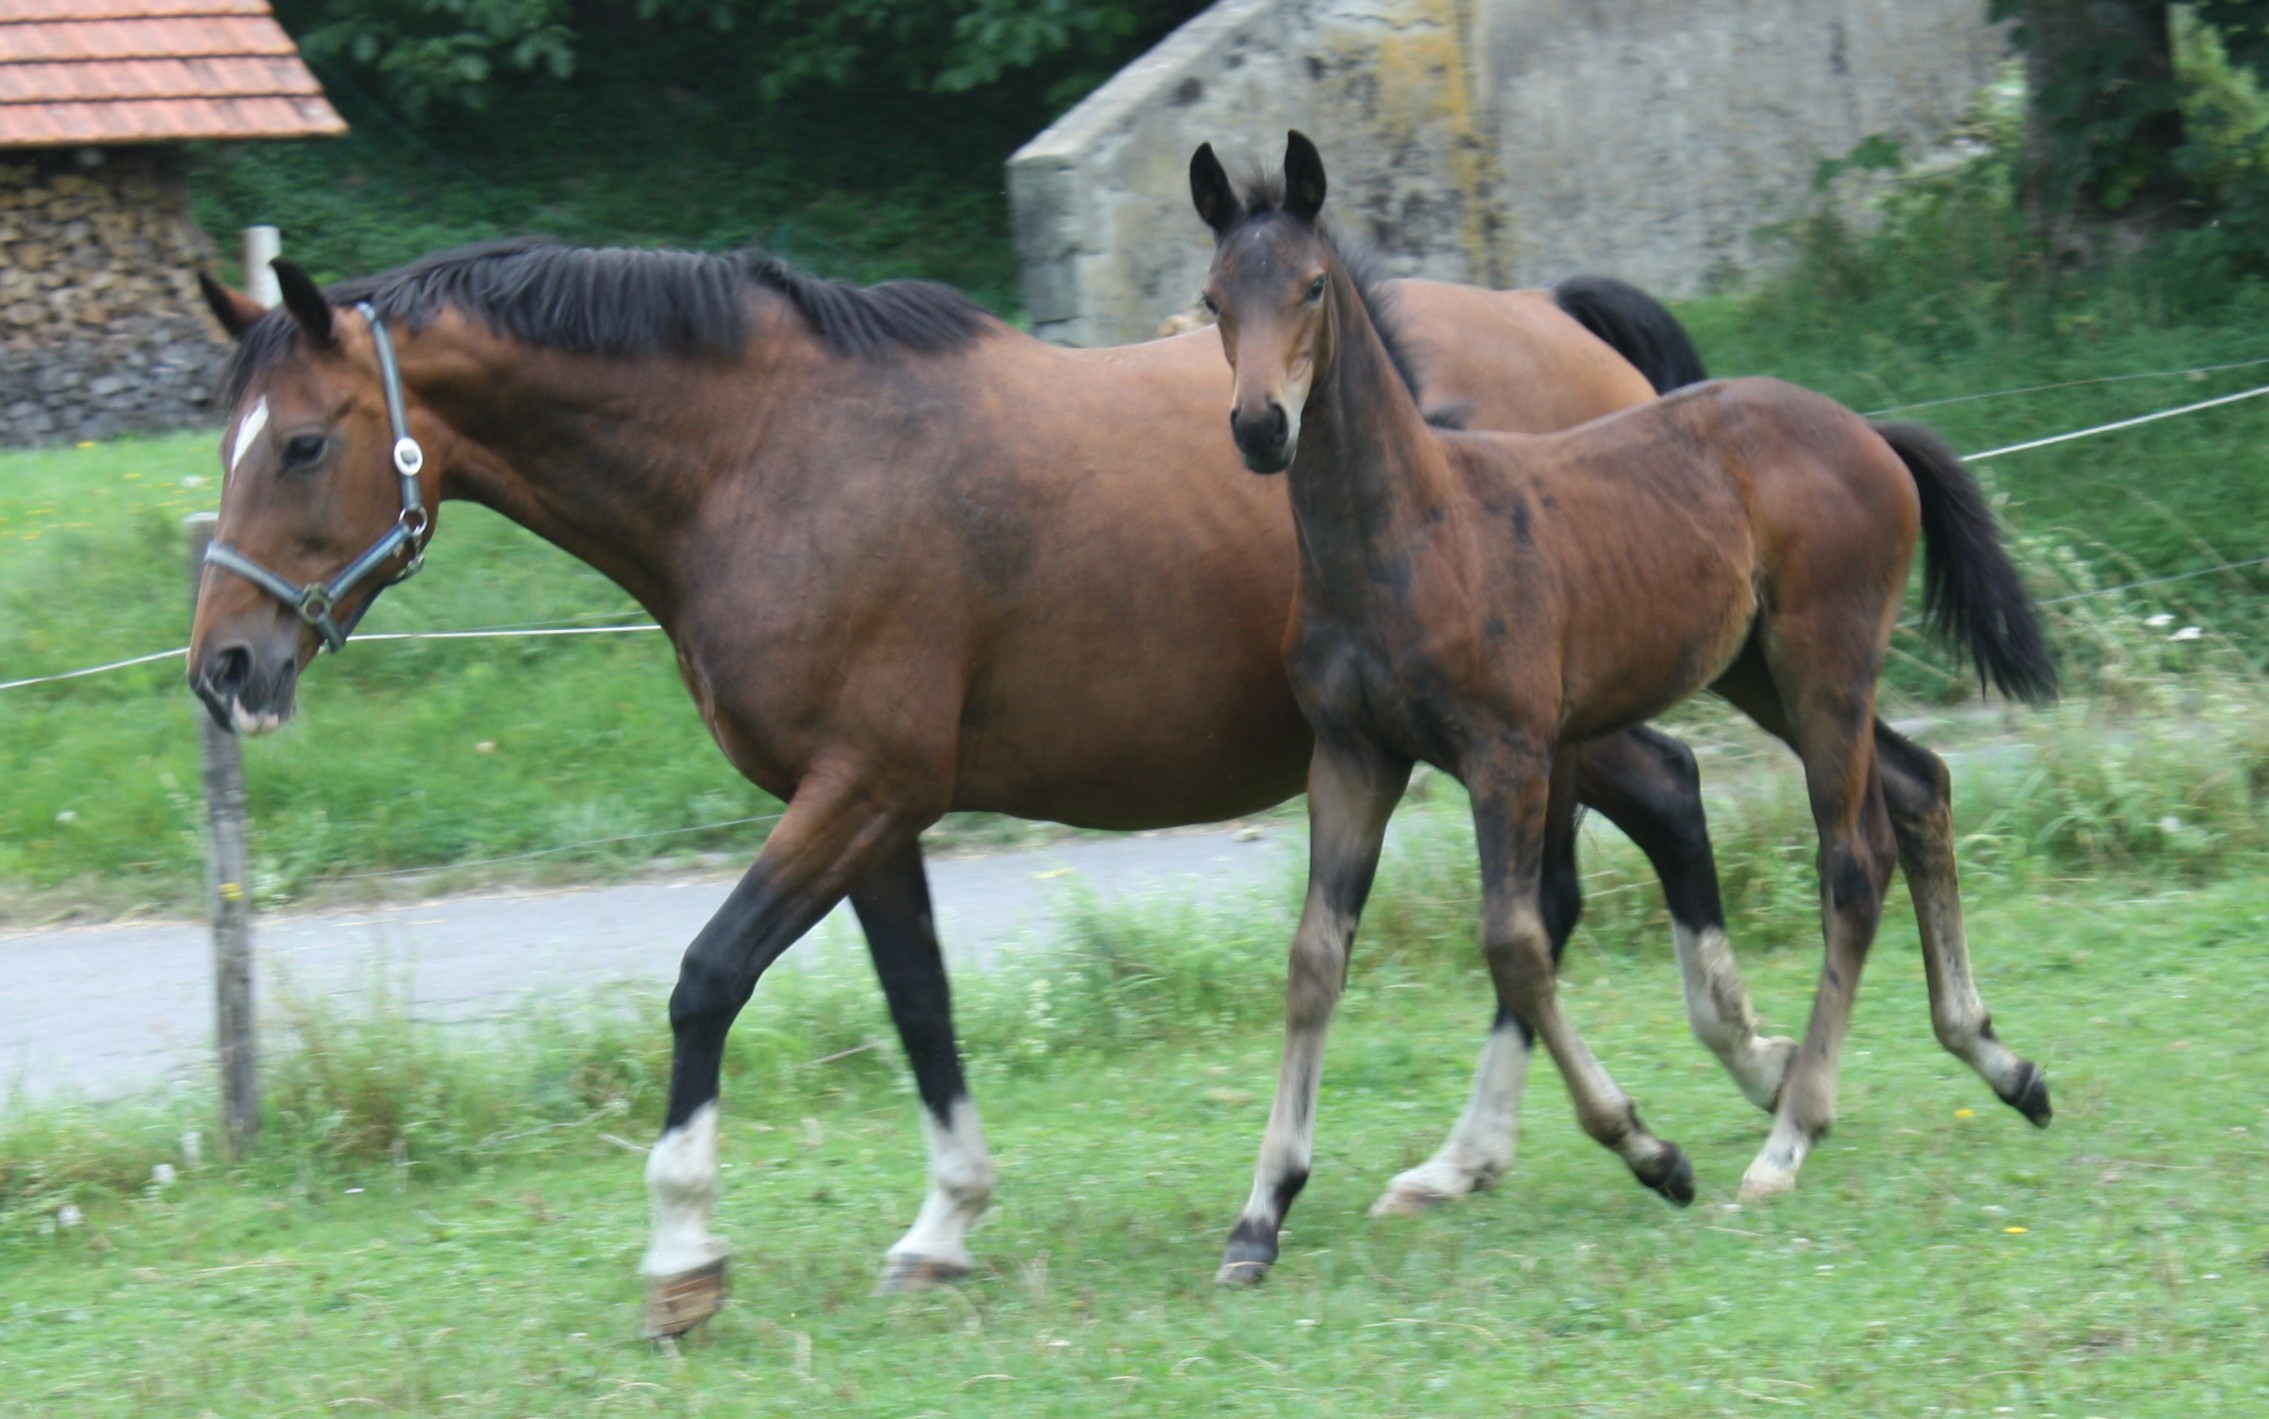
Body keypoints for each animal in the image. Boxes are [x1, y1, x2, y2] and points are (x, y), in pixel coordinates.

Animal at [186, 232, 1769, 1325]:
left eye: (307, 441)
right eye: (230, 441)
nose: (225, 665)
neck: (766, 457)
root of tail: (1560, 321)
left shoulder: (860, 789)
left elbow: (708, 979)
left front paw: (684, 1251)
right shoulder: (872, 810)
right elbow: (920, 1003)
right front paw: (944, 1223)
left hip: (1532, 724)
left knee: (1636, 831)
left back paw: (1717, 1077)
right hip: (1527, 732)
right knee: (1612, 848)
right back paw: (1493, 1151)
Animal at [1198, 132, 2069, 1280]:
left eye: (1308, 286)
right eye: (1213, 298)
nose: (1260, 428)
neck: (1405, 533)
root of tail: (1871, 434)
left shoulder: (1507, 752)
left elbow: (1516, 942)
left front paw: (1649, 1151)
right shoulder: (1352, 757)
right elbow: (1312, 960)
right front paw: (1260, 1214)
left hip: (1823, 661)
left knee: (1854, 856)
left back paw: (1790, 1134)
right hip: (1761, 671)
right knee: (1920, 783)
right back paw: (1999, 1062)